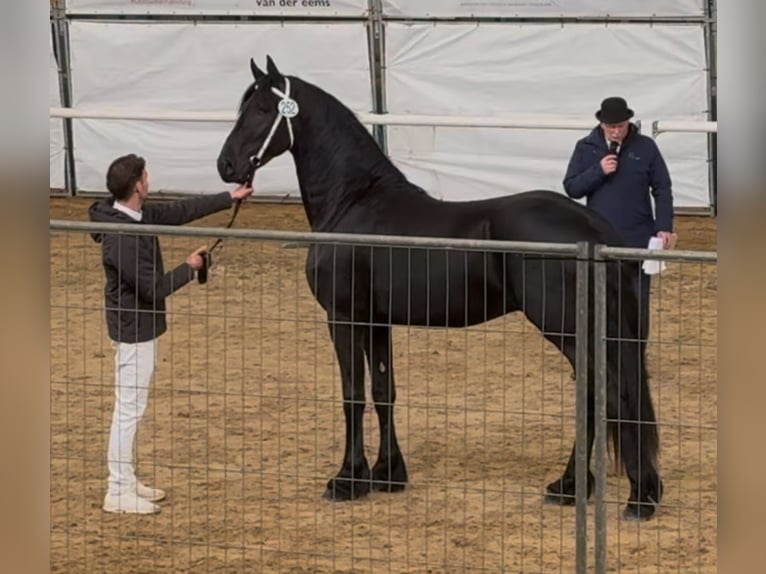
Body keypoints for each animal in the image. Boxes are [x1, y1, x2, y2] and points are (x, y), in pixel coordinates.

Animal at [218, 57, 664, 520]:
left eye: (263, 110)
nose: (226, 166)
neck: (354, 202)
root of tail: (593, 227)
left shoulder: (343, 317)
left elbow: (352, 395)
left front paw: (347, 480)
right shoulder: (376, 322)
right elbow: (384, 392)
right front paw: (388, 474)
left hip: (567, 328)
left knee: (604, 393)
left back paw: (623, 496)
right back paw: (586, 487)